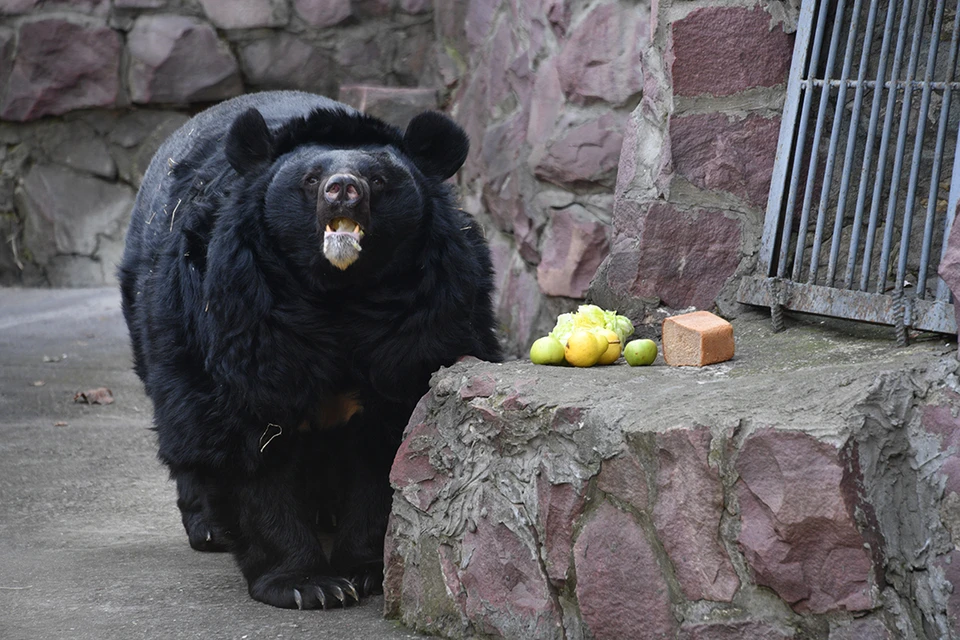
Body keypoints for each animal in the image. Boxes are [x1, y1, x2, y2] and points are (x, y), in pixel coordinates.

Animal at [120, 91, 502, 608]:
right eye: (311, 179)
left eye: (377, 179)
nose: (343, 189)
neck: (337, 293)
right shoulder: (240, 308)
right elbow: (249, 438)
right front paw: (308, 584)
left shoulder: (426, 317)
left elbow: (388, 440)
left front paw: (362, 569)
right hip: (163, 319)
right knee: (184, 417)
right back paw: (207, 527)